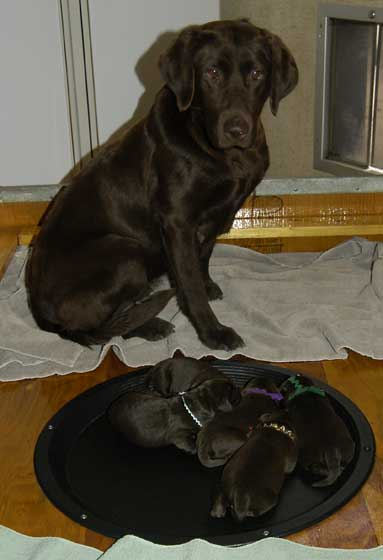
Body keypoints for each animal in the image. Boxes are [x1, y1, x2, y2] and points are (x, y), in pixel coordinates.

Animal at [25, 17, 298, 348]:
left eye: (257, 74)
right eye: (212, 73)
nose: (236, 128)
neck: (224, 154)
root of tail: (40, 312)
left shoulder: (217, 216)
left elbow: (202, 259)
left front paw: (207, 286)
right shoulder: (177, 221)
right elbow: (190, 285)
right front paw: (213, 332)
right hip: (125, 252)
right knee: (102, 327)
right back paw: (150, 323)